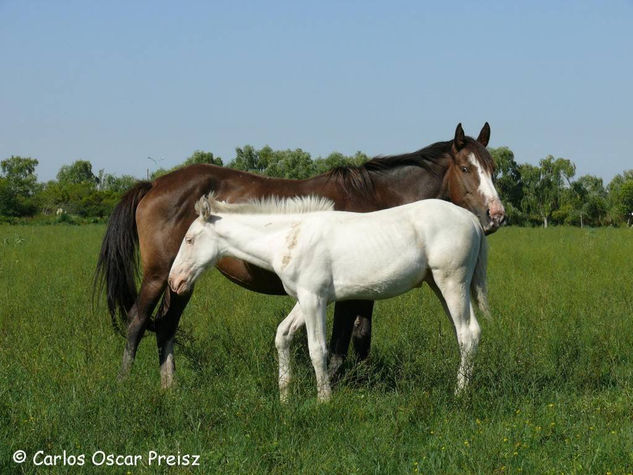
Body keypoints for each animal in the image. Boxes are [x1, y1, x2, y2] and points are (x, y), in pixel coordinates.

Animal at [168, 195, 488, 404]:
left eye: (189, 240)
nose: (174, 281)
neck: (291, 237)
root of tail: (472, 219)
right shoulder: (306, 299)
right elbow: (283, 335)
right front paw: (284, 397)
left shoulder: (314, 300)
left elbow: (317, 349)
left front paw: (324, 400)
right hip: (439, 285)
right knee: (465, 333)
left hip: (452, 282)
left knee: (467, 334)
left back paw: (460, 394)